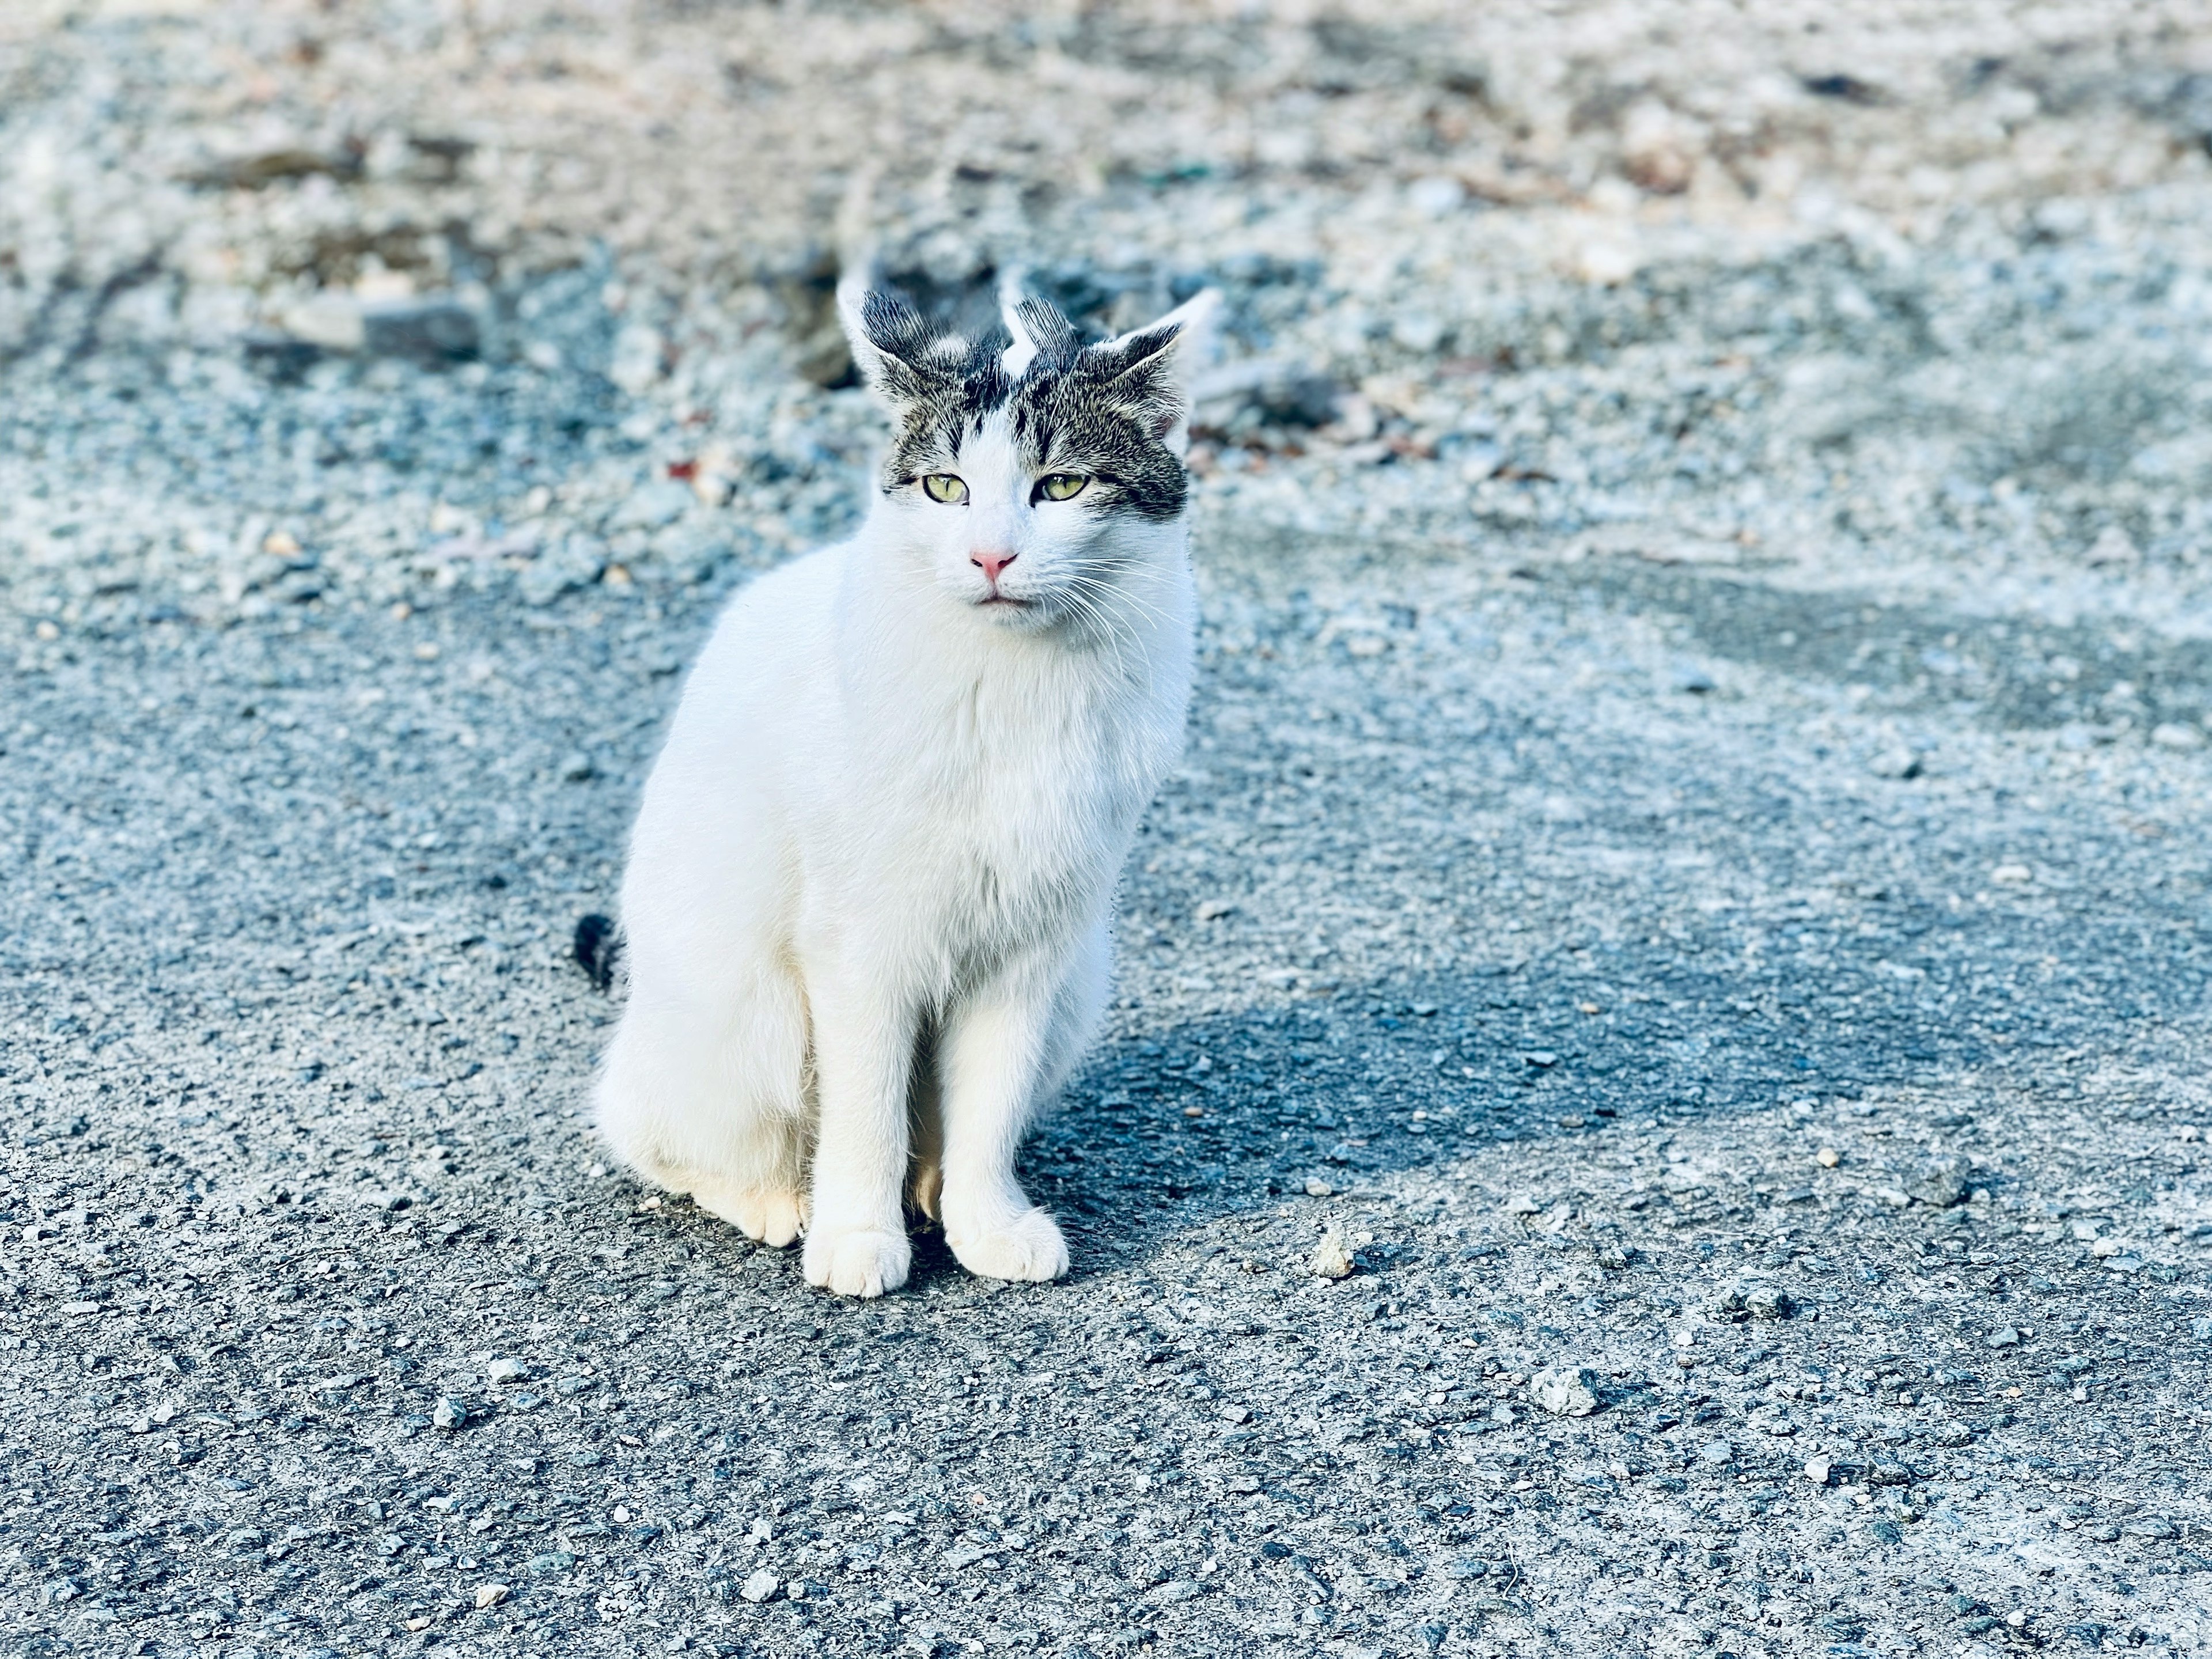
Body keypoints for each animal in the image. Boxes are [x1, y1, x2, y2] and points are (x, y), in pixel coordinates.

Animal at [593, 273, 1212, 1300]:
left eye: (1063, 486)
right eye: (945, 488)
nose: (991, 557)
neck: (1015, 688)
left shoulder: (1031, 946)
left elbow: (988, 1106)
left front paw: (985, 1222)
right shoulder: (858, 947)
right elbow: (864, 1107)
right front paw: (854, 1233)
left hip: (1080, 983)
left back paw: (929, 1192)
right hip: (742, 1010)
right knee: (654, 1133)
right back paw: (779, 1203)